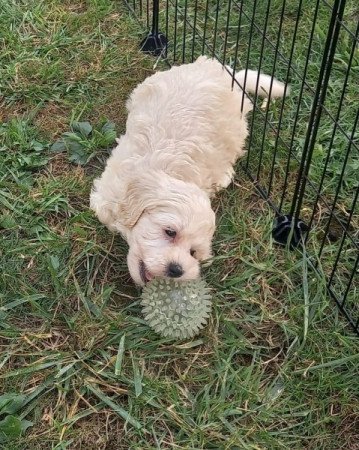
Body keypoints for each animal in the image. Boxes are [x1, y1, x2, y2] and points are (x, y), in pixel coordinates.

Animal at [90, 55, 286, 284]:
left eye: (193, 252)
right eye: (170, 232)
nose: (177, 269)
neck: (168, 171)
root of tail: (230, 75)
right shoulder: (107, 194)